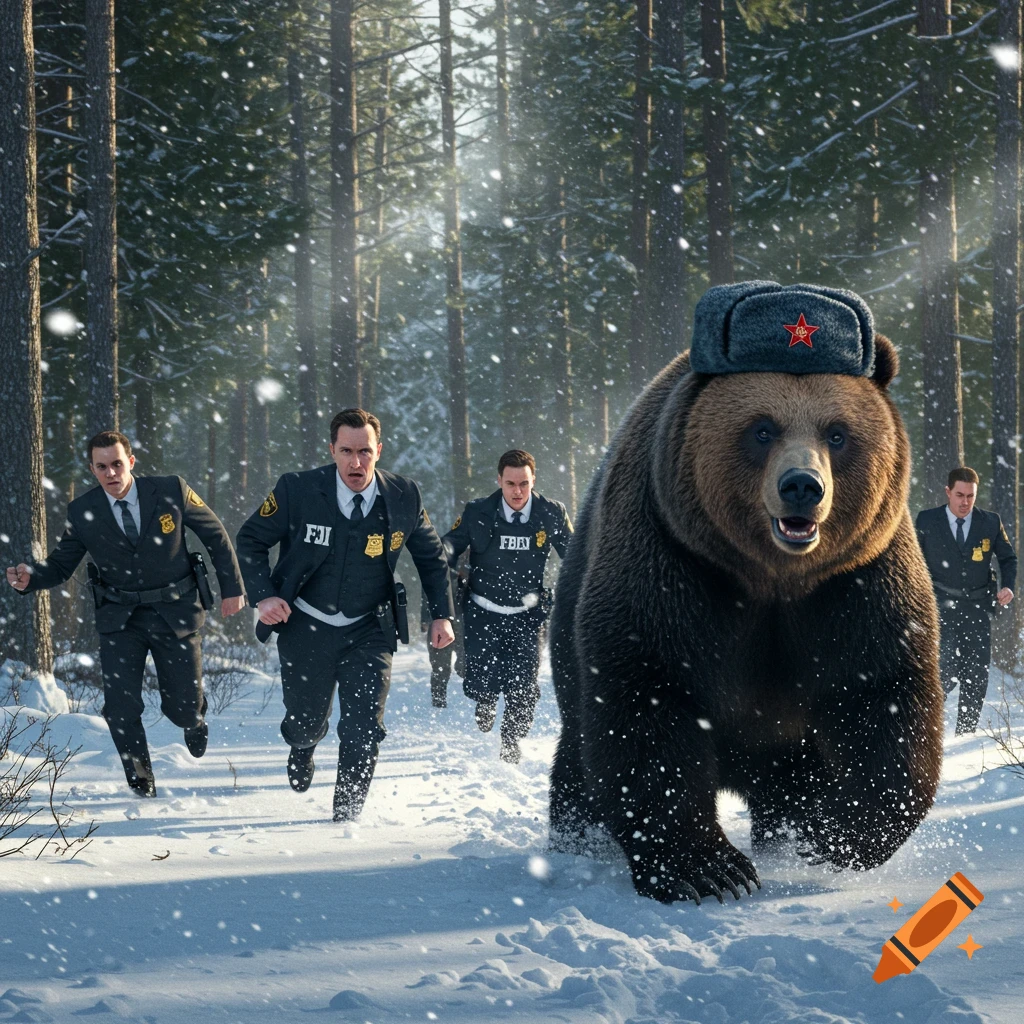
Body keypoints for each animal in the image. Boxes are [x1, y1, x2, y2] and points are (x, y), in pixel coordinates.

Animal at [549, 282, 943, 905]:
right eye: (763, 428)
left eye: (837, 432)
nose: (802, 486)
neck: (770, 577)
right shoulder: (672, 561)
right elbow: (647, 700)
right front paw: (710, 870)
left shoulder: (856, 582)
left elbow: (883, 696)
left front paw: (829, 836)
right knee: (577, 754)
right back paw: (578, 840)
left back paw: (789, 830)